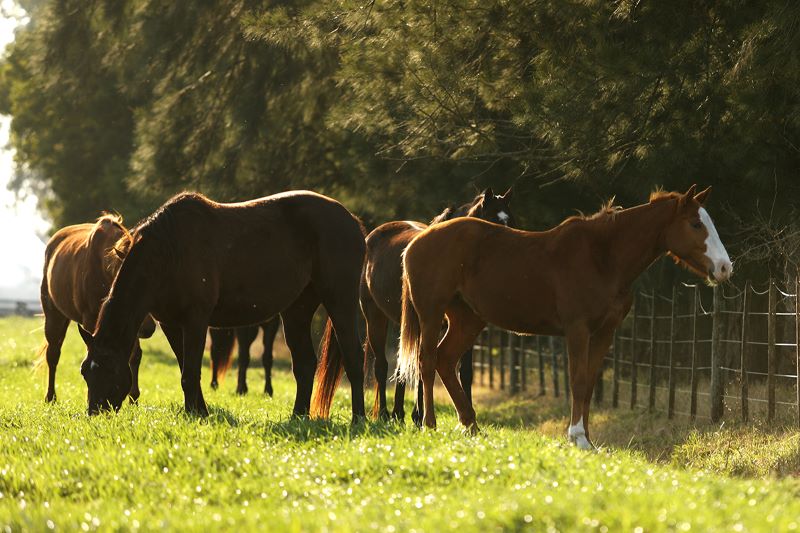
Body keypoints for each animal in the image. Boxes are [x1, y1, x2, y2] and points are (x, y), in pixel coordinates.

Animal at [39, 214, 157, 402]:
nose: (148, 328)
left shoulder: (126, 319)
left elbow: (134, 355)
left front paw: (133, 397)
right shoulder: (92, 321)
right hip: (54, 315)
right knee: (53, 354)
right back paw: (50, 397)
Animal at [79, 189, 368, 418]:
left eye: (110, 369)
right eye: (85, 372)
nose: (95, 412)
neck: (169, 253)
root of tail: (353, 222)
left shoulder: (195, 320)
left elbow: (190, 373)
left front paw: (194, 414)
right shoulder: (171, 324)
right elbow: (186, 368)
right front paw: (200, 411)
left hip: (340, 300)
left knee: (353, 357)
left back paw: (359, 418)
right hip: (297, 310)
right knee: (305, 364)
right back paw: (298, 416)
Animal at [310, 187, 516, 420]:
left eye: (512, 221)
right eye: (492, 221)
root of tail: (369, 238)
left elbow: (464, 372)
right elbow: (423, 364)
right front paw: (421, 415)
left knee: (402, 364)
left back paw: (399, 412)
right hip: (376, 318)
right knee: (382, 366)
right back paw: (385, 413)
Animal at [398, 185, 732, 446]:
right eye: (695, 224)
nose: (725, 267)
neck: (603, 257)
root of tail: (417, 241)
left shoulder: (604, 332)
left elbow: (590, 383)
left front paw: (587, 439)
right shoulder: (577, 330)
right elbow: (578, 381)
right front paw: (577, 437)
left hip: (468, 320)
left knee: (445, 360)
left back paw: (471, 425)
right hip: (431, 315)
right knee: (427, 362)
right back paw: (430, 425)